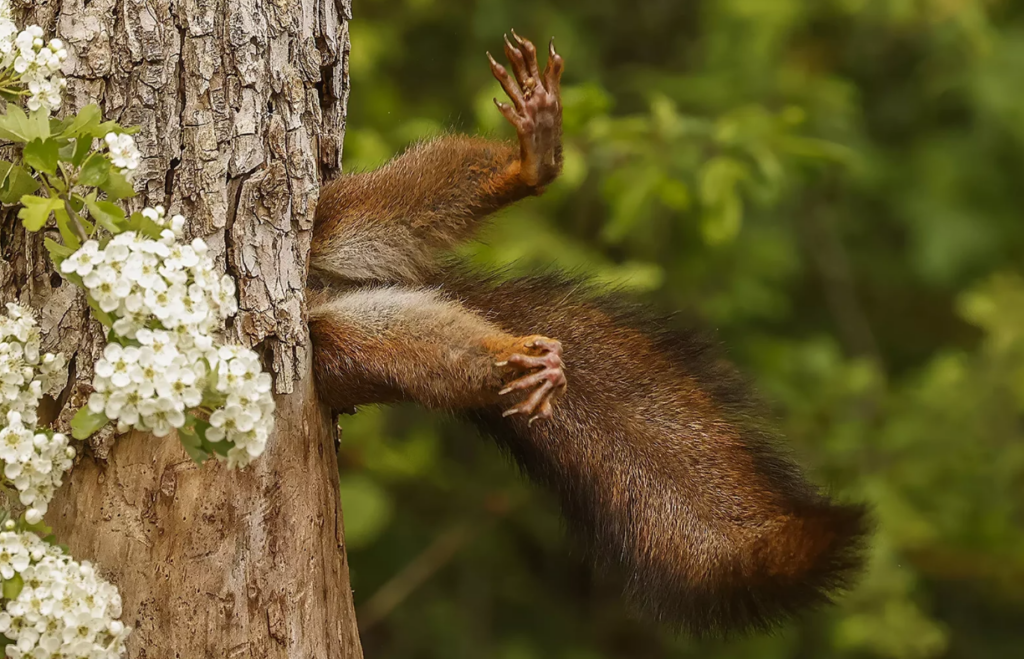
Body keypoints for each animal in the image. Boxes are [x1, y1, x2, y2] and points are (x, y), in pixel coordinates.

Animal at [307, 32, 868, 638]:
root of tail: (322, 290)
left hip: (334, 220)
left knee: (397, 202)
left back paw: (531, 165)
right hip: (338, 346)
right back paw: (518, 358)